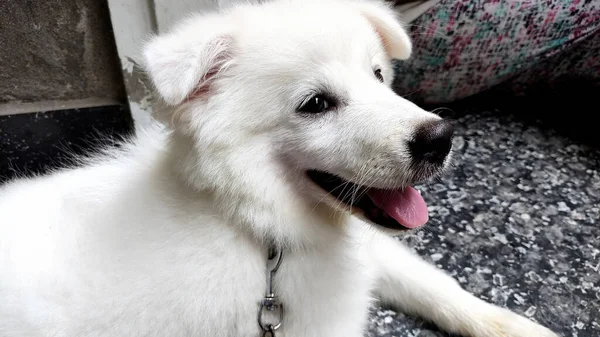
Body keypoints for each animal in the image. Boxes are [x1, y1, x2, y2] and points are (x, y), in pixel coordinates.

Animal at [0, 0, 560, 336]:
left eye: (378, 76)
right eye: (315, 104)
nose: (440, 139)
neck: (263, 233)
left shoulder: (366, 250)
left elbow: (439, 285)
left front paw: (516, 326)